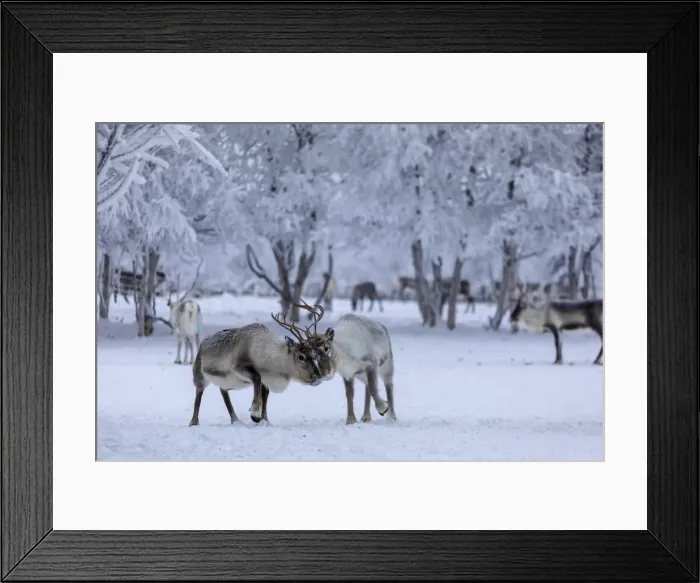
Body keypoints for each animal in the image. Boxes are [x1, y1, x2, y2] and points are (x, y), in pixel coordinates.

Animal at [188, 309, 330, 427]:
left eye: (314, 354)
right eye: (301, 356)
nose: (318, 378)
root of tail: (202, 343)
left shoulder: (266, 380)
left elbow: (265, 395)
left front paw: (265, 420)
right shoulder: (239, 367)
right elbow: (257, 377)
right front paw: (255, 413)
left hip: (228, 382)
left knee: (223, 391)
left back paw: (236, 420)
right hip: (200, 375)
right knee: (198, 394)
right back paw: (194, 422)